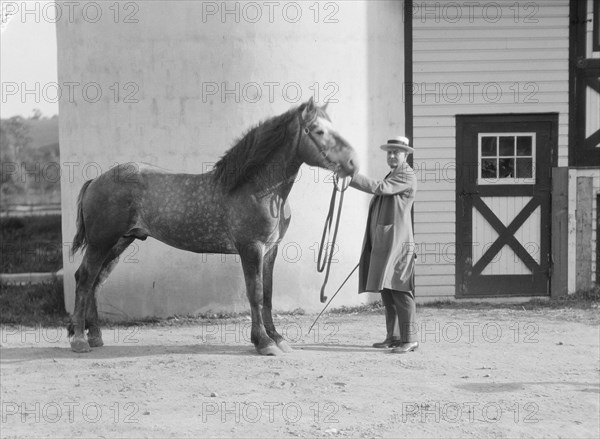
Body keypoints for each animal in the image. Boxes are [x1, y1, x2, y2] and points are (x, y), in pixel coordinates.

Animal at [71, 98, 360, 356]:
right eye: (319, 131)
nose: (353, 164)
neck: (258, 188)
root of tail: (96, 180)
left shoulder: (271, 250)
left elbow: (268, 295)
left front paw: (278, 339)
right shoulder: (251, 248)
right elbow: (255, 293)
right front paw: (264, 343)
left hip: (119, 243)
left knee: (96, 282)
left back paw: (95, 336)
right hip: (101, 242)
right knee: (85, 279)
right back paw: (79, 341)